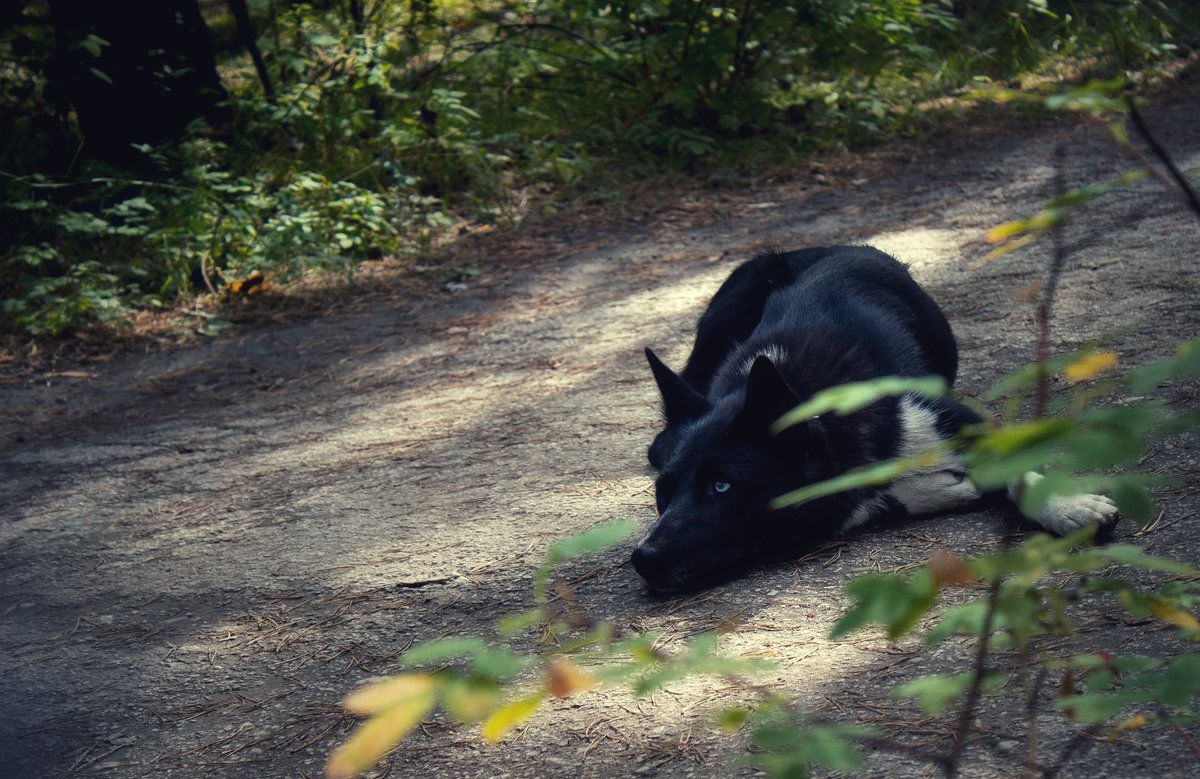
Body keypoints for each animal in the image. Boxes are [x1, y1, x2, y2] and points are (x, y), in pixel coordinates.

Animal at [633, 246, 1118, 592]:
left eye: (722, 486)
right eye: (663, 492)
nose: (642, 558)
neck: (809, 397)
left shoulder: (952, 416)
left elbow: (1018, 467)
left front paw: (1070, 507)